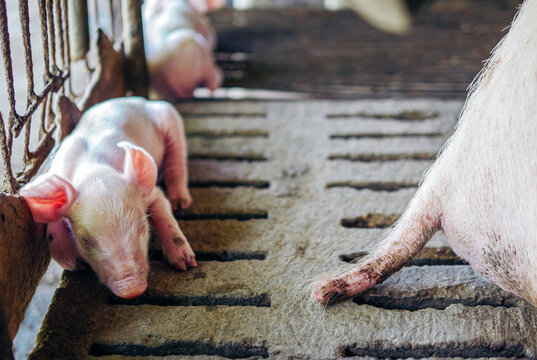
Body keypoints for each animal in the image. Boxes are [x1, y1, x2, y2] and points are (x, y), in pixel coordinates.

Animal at [22, 97, 197, 300]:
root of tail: (136, 100)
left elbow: (164, 215)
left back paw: (180, 202)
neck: (94, 171)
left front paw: (185, 264)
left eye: (142, 226)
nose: (131, 289)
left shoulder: (151, 192)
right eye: (84, 239)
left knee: (177, 160)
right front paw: (75, 263)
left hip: (171, 118)